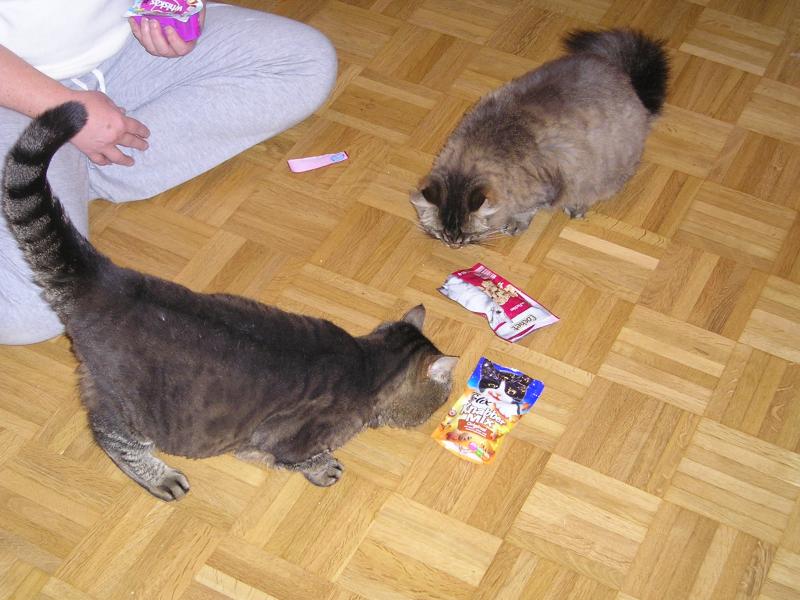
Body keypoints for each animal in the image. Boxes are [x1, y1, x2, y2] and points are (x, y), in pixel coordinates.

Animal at [1, 101, 458, 501]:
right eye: (445, 392)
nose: (448, 399)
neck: (367, 364)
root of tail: (104, 276)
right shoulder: (288, 438)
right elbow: (301, 458)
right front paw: (322, 466)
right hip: (129, 407)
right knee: (110, 437)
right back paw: (160, 477)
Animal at [410, 28, 669, 247]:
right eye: (441, 232)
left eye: (467, 233)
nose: (453, 243)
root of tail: (623, 75)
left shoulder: (547, 187)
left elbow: (527, 209)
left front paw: (516, 222)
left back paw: (577, 205)